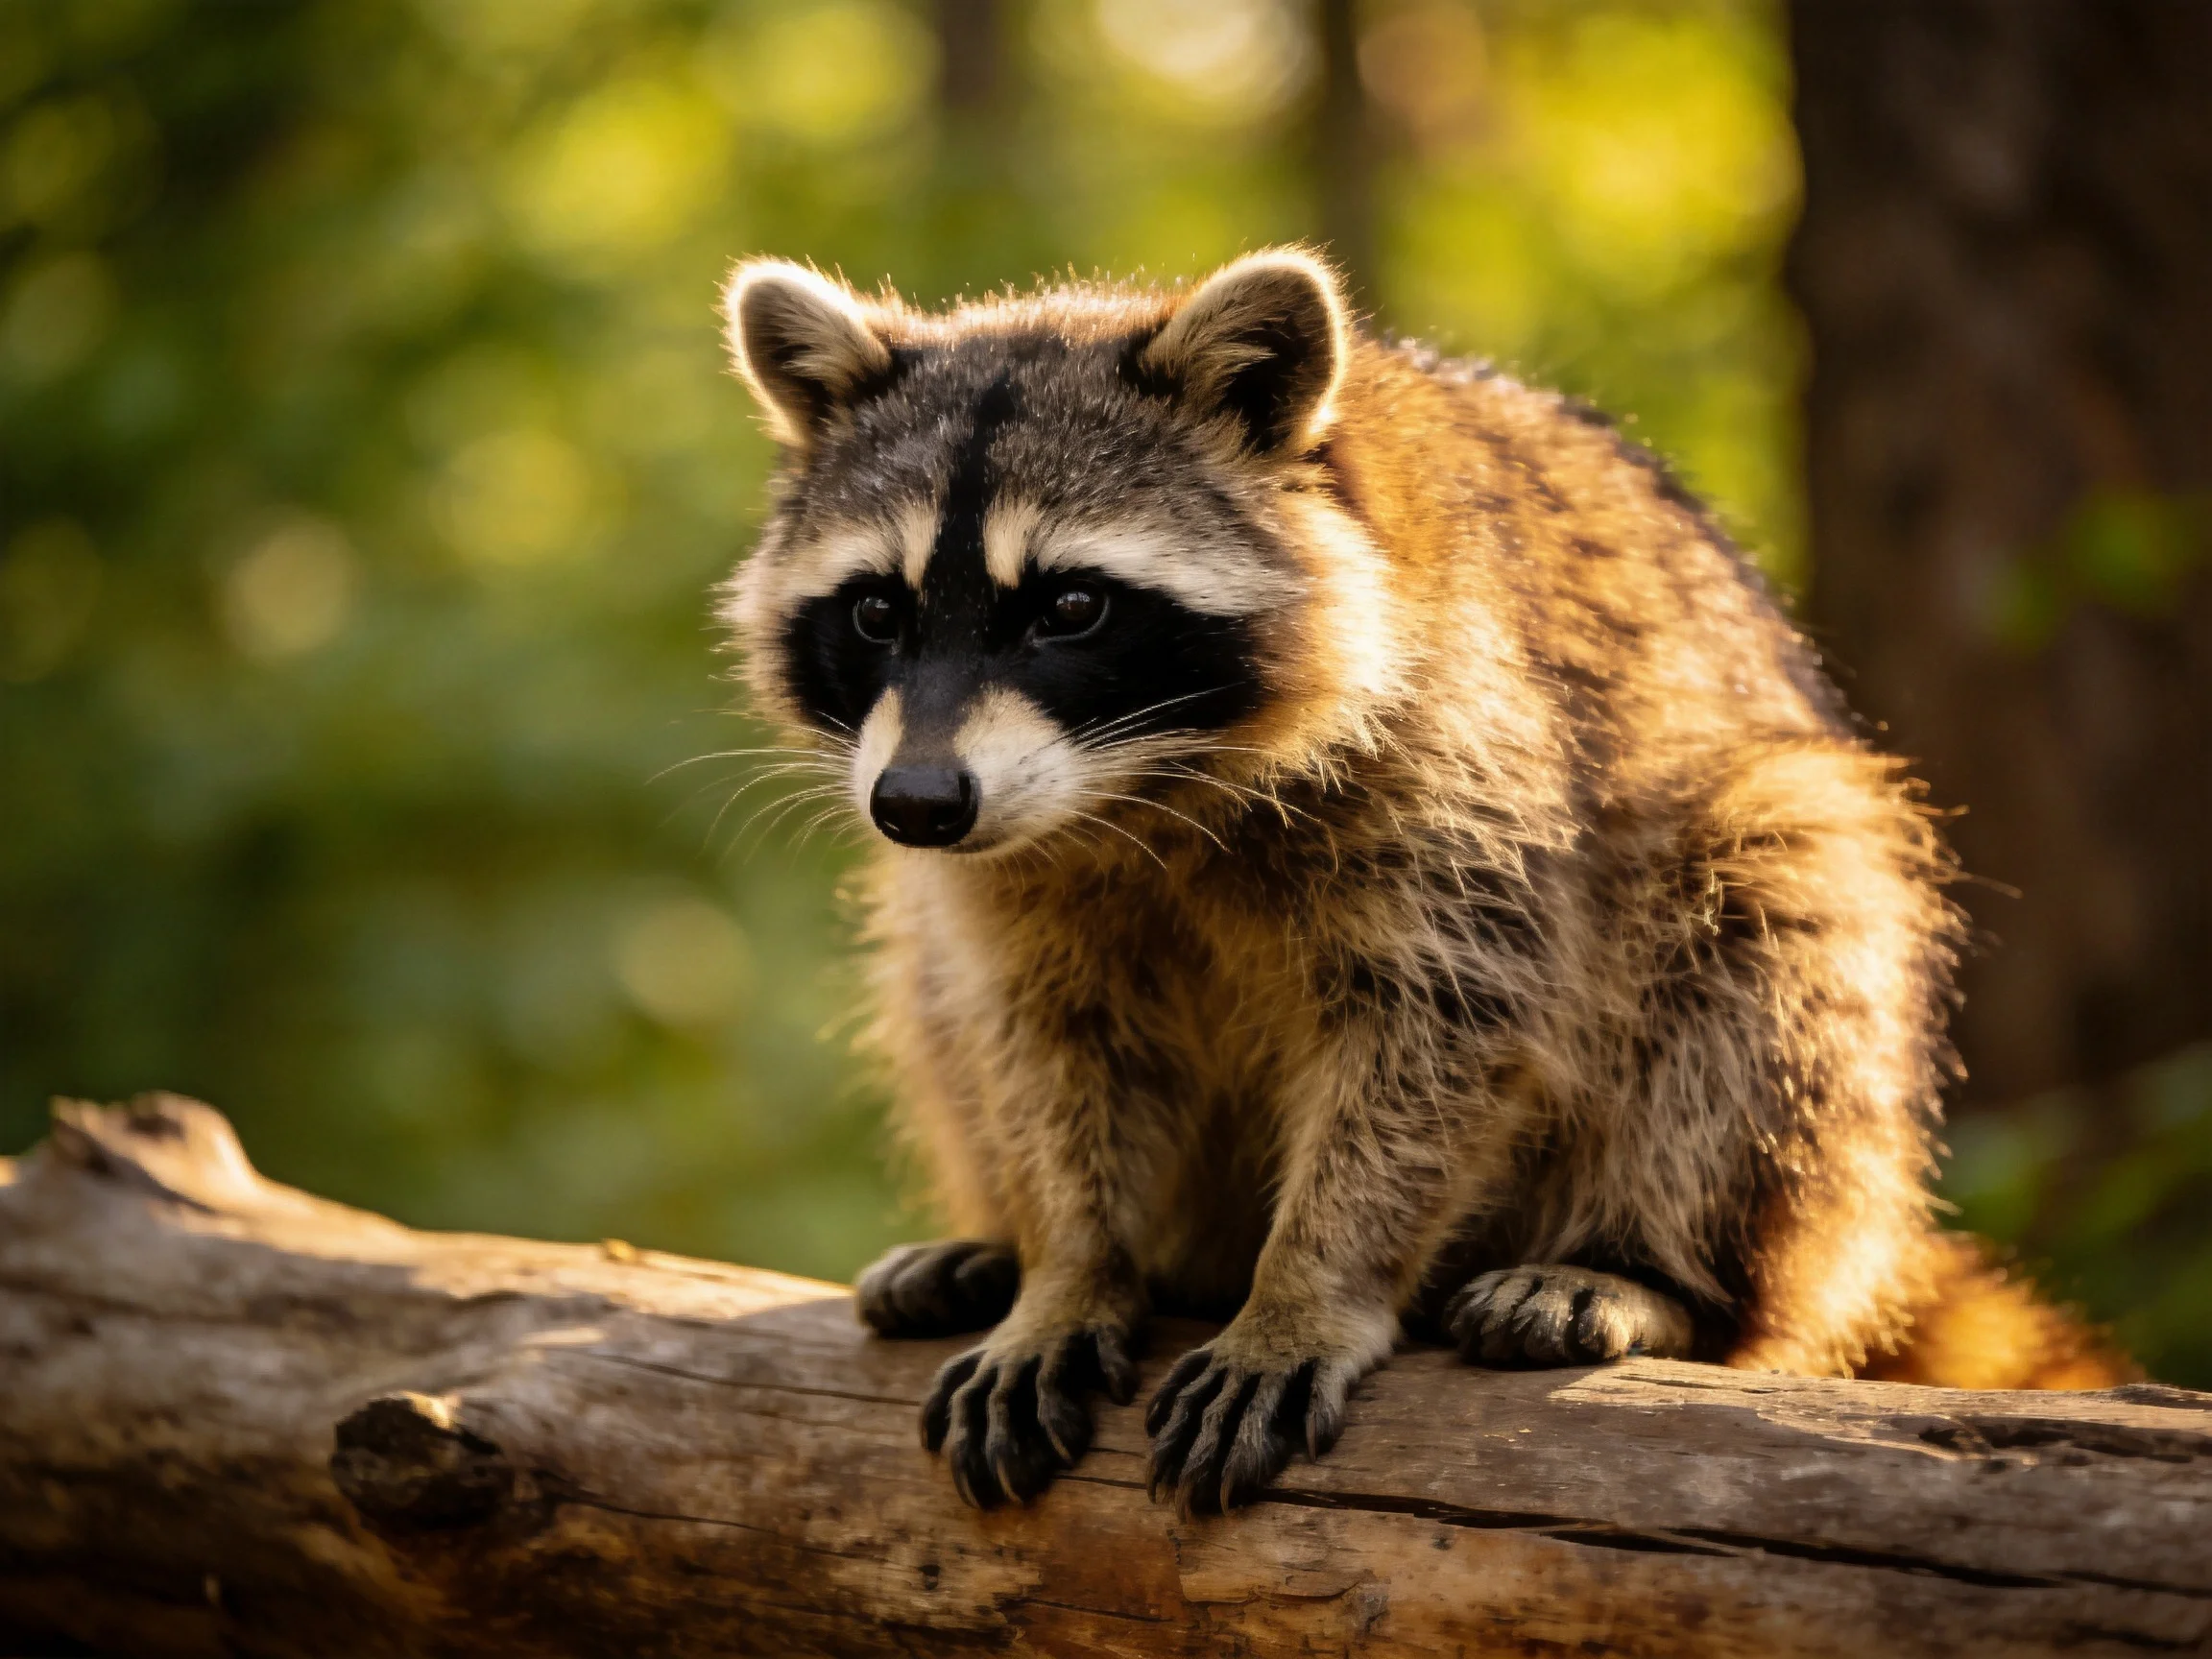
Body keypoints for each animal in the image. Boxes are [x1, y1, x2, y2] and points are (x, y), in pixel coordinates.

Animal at [717, 249, 2130, 1515]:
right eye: (878, 613)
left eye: (1069, 607)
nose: (916, 805)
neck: (1136, 793)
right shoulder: (1011, 879)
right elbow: (1045, 1047)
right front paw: (1069, 1264)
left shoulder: (1471, 765)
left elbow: (1437, 1040)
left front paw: (1307, 1289)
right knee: (929, 986)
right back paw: (1005, 1245)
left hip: (1787, 947)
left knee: (1783, 915)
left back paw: (1647, 1268)